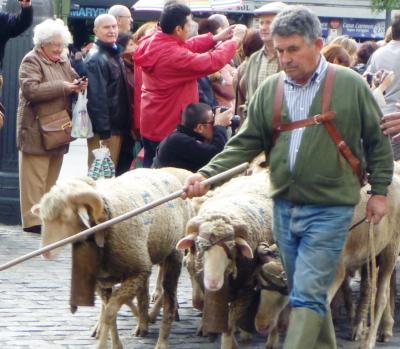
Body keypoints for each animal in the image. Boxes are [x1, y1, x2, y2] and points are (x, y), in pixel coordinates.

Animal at [31, 168, 194, 348]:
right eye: (43, 218)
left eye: (66, 216)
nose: (45, 252)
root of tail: (164, 171)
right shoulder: (101, 281)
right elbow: (109, 312)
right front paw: (113, 342)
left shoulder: (137, 273)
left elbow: (109, 313)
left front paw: (105, 344)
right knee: (143, 294)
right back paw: (142, 323)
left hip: (172, 255)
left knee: (169, 297)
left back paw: (161, 338)